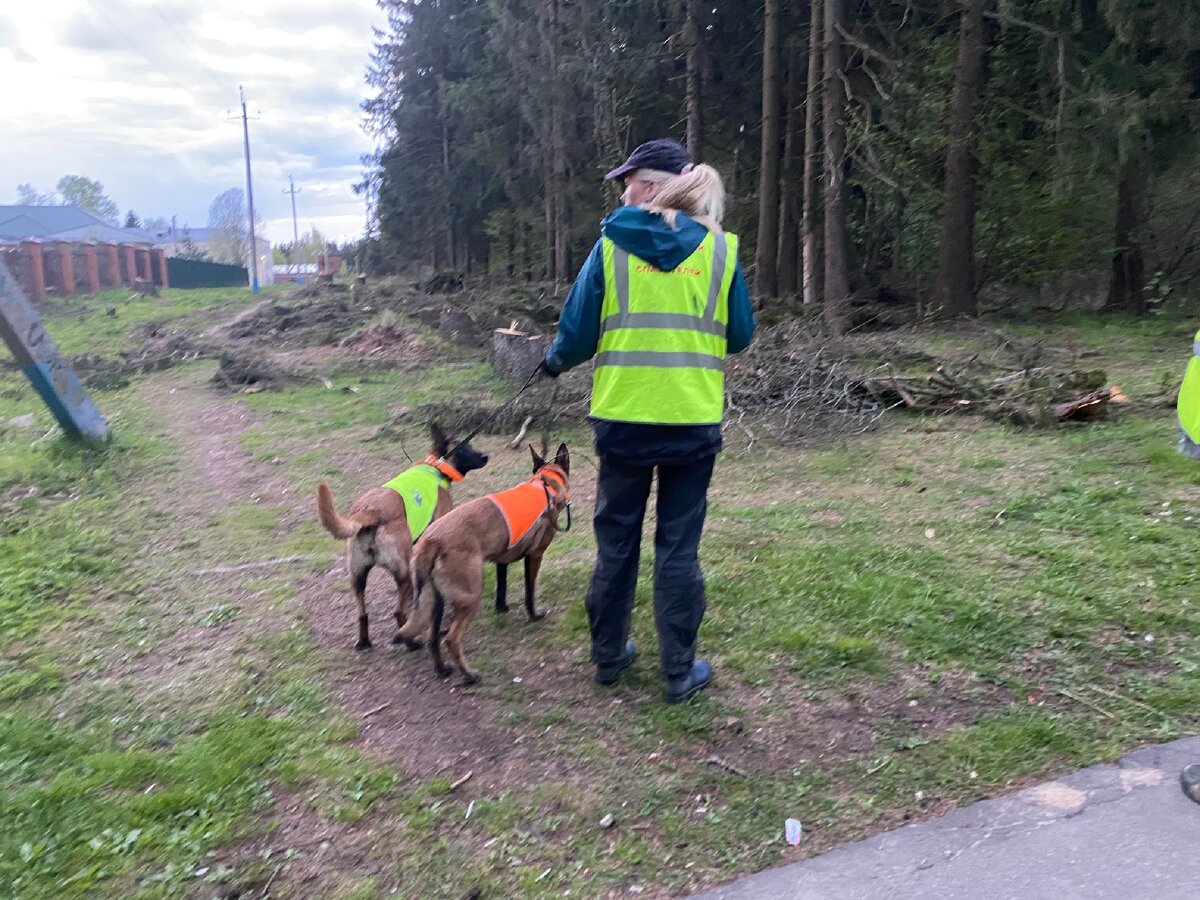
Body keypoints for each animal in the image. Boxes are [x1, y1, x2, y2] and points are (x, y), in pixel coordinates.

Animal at [319, 427, 492, 652]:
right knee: (398, 612)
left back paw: (364, 641)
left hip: (357, 577)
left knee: (362, 613)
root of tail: (368, 512)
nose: (485, 456)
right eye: (463, 448)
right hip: (403, 571)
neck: (435, 466)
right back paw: (411, 643)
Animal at [398, 441, 571, 681]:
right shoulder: (535, 556)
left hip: (434, 600)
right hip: (470, 596)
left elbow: (501, 588)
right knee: (451, 639)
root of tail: (432, 539)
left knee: (433, 636)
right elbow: (530, 592)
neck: (545, 485)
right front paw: (534, 615)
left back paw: (442, 670)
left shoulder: (501, 561)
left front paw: (502, 608)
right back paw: (469, 675)